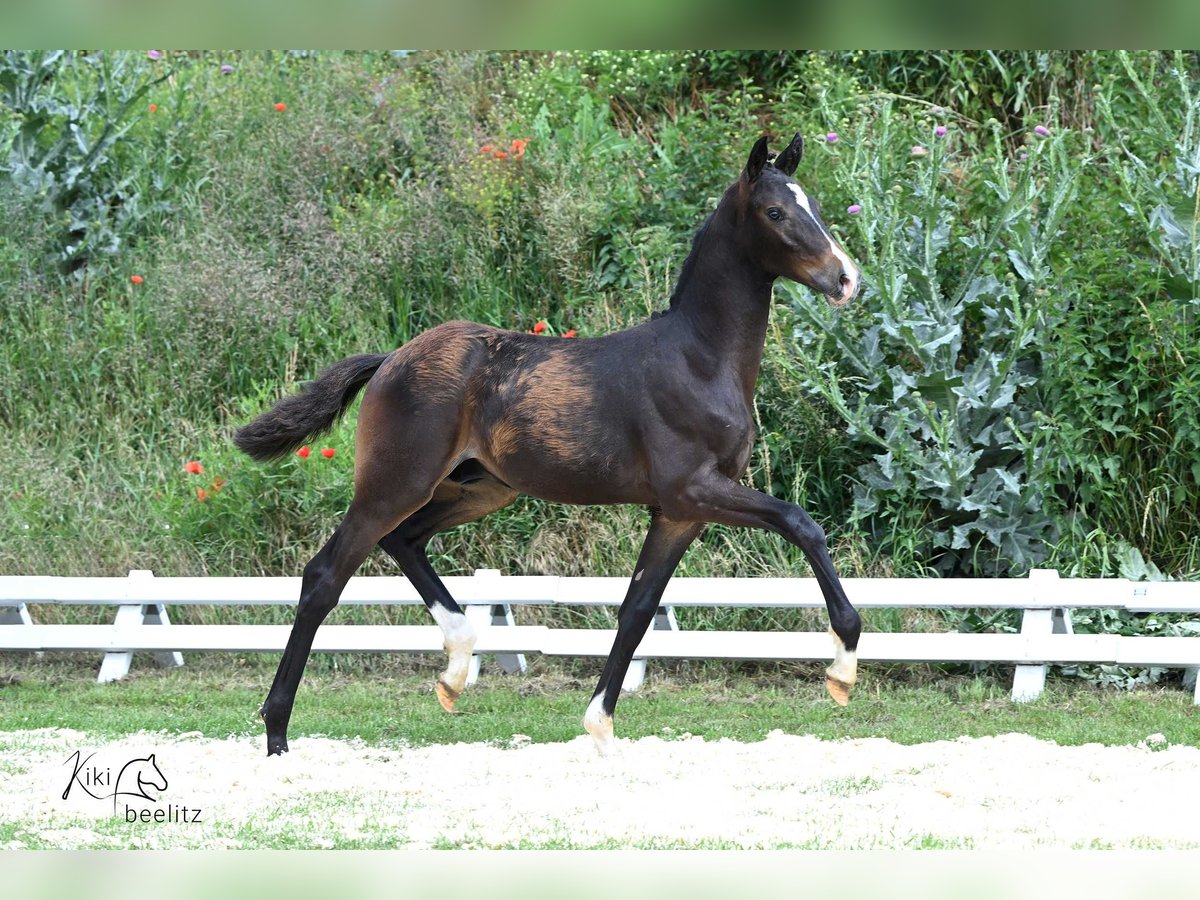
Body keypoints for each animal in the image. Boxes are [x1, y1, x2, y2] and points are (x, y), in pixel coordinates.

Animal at [236, 133, 864, 758]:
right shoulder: (696, 489)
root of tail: (391, 358)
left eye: (815, 204)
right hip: (395, 484)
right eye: (775, 212)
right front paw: (842, 668)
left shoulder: (679, 513)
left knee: (405, 541)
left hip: (479, 489)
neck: (698, 361)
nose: (846, 279)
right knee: (325, 576)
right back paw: (277, 732)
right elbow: (801, 522)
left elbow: (637, 609)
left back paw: (456, 667)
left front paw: (601, 727)